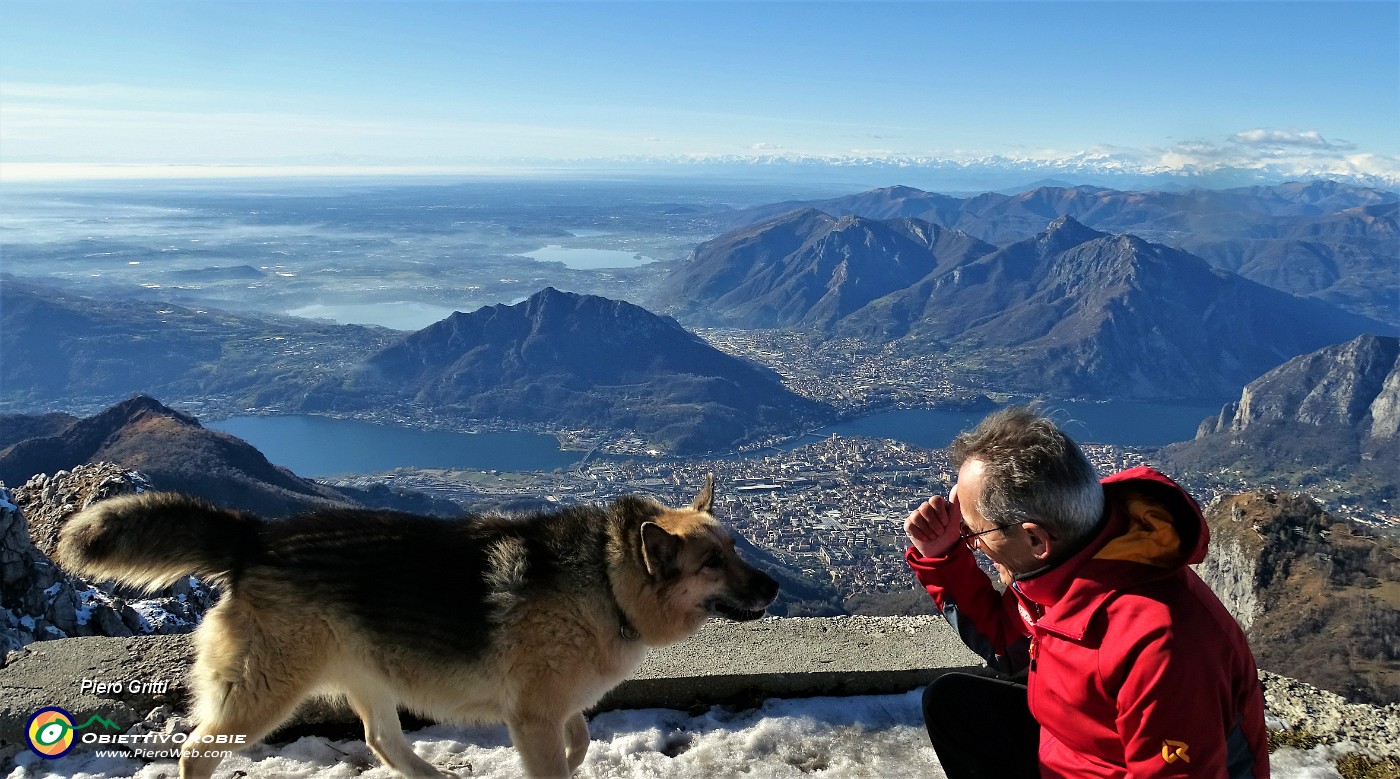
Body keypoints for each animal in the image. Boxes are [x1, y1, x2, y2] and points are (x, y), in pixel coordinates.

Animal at [57, 473, 778, 779]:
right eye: (712, 562)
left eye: (735, 547)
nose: (771, 586)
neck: (606, 573)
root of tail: (253, 538)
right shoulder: (533, 715)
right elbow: (559, 755)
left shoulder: (551, 709)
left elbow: (577, 741)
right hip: (267, 689)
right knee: (198, 750)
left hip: (368, 673)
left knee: (382, 740)